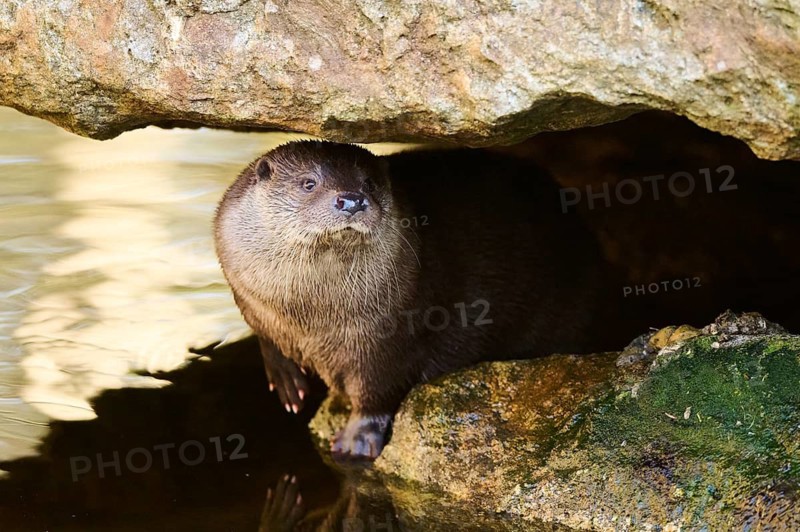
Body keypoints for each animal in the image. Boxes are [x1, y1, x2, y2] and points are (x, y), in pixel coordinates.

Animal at [214, 141, 603, 460]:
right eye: (308, 183)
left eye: (369, 183)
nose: (352, 199)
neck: (312, 319)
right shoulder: (251, 302)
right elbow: (267, 340)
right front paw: (286, 380)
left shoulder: (390, 334)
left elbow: (378, 386)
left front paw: (357, 439)